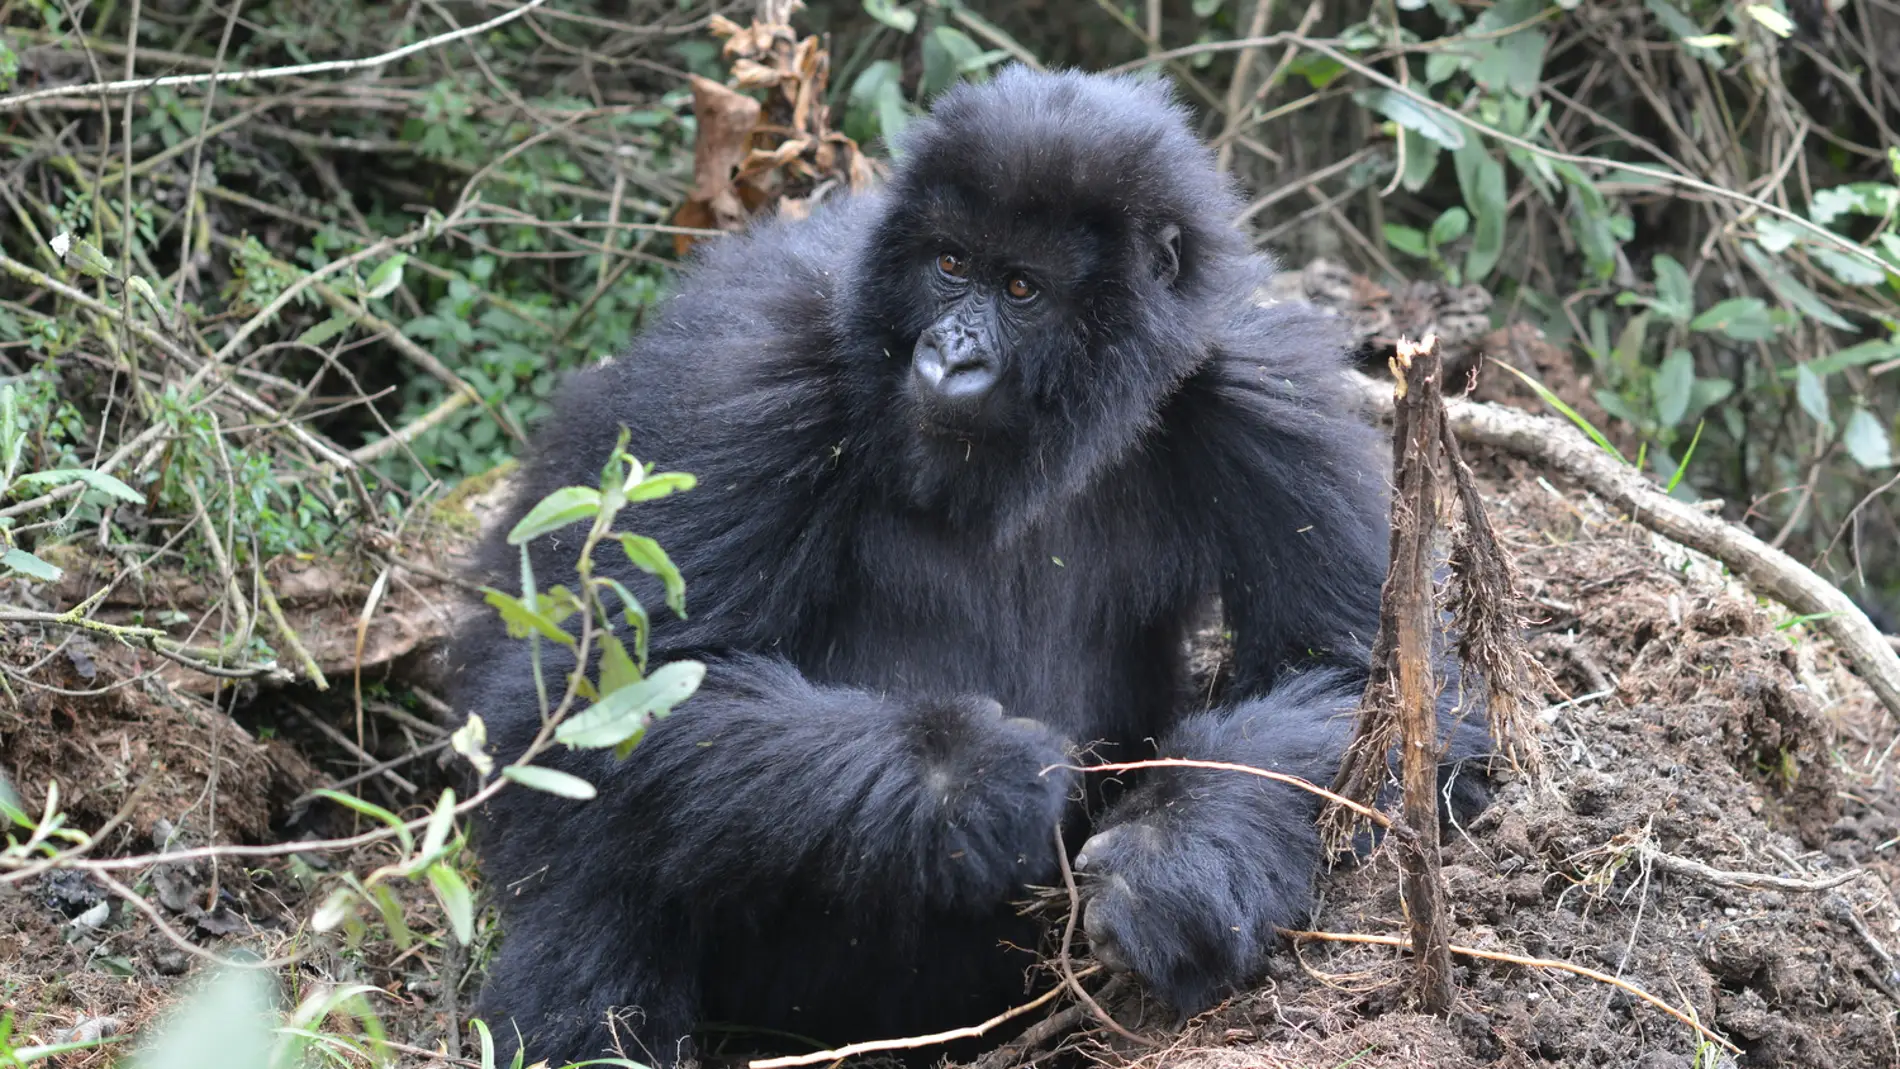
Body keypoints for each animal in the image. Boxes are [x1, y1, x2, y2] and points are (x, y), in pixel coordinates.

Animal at [452, 68, 1489, 1069]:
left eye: (1021, 288)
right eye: (950, 265)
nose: (949, 357)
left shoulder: (1268, 391)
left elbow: (1373, 677)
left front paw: (1172, 855)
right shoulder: (745, 370)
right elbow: (594, 689)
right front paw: (966, 784)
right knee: (603, 836)